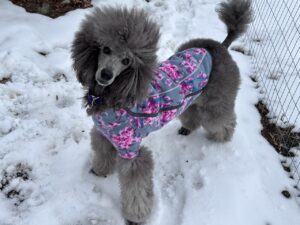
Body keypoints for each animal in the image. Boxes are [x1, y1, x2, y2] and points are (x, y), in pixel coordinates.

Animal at [71, 0, 252, 224]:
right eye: (105, 49)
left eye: (126, 62)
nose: (106, 75)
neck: (115, 94)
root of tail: (222, 46)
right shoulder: (104, 134)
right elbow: (102, 153)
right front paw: (99, 171)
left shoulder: (131, 149)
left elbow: (137, 186)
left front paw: (136, 216)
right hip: (190, 100)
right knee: (192, 115)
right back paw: (187, 128)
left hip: (216, 102)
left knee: (223, 121)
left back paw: (222, 138)